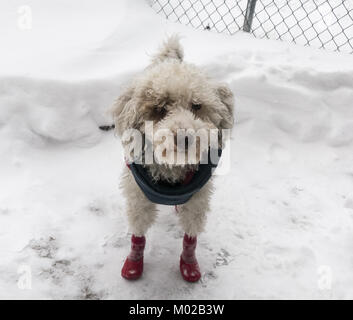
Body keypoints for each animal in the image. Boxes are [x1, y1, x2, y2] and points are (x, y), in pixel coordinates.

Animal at [113, 35, 234, 282]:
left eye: (197, 105)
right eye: (159, 108)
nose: (185, 138)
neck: (172, 170)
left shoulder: (198, 201)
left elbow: (190, 237)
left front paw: (189, 264)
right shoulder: (138, 199)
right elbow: (138, 234)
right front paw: (134, 263)